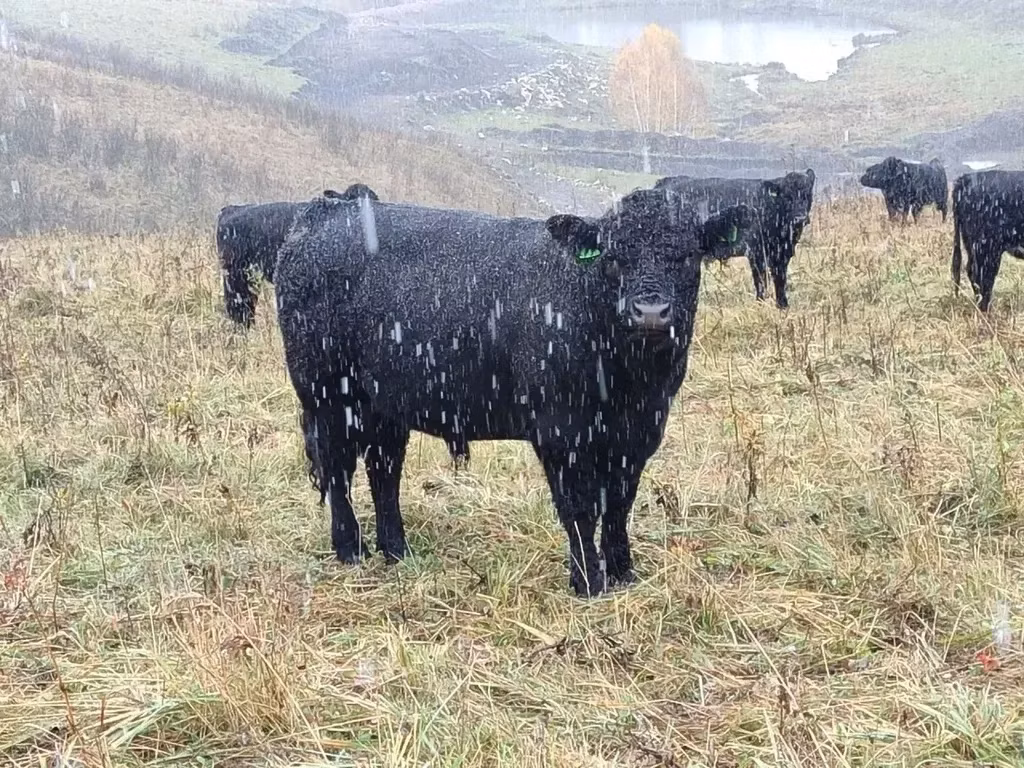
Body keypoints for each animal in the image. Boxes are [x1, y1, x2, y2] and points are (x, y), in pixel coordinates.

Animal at [272, 189, 755, 597]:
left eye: (688, 255)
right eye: (614, 257)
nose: (651, 313)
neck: (628, 380)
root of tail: (325, 210)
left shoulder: (640, 431)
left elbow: (619, 503)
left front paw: (622, 574)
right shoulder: (561, 431)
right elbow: (580, 507)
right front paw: (588, 583)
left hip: (383, 403)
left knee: (383, 468)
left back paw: (396, 551)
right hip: (327, 393)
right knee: (339, 468)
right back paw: (350, 551)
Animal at [653, 169, 816, 309]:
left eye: (807, 194)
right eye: (787, 197)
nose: (800, 218)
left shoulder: (782, 254)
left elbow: (780, 280)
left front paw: (783, 305)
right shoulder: (756, 253)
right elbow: (760, 280)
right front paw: (761, 303)